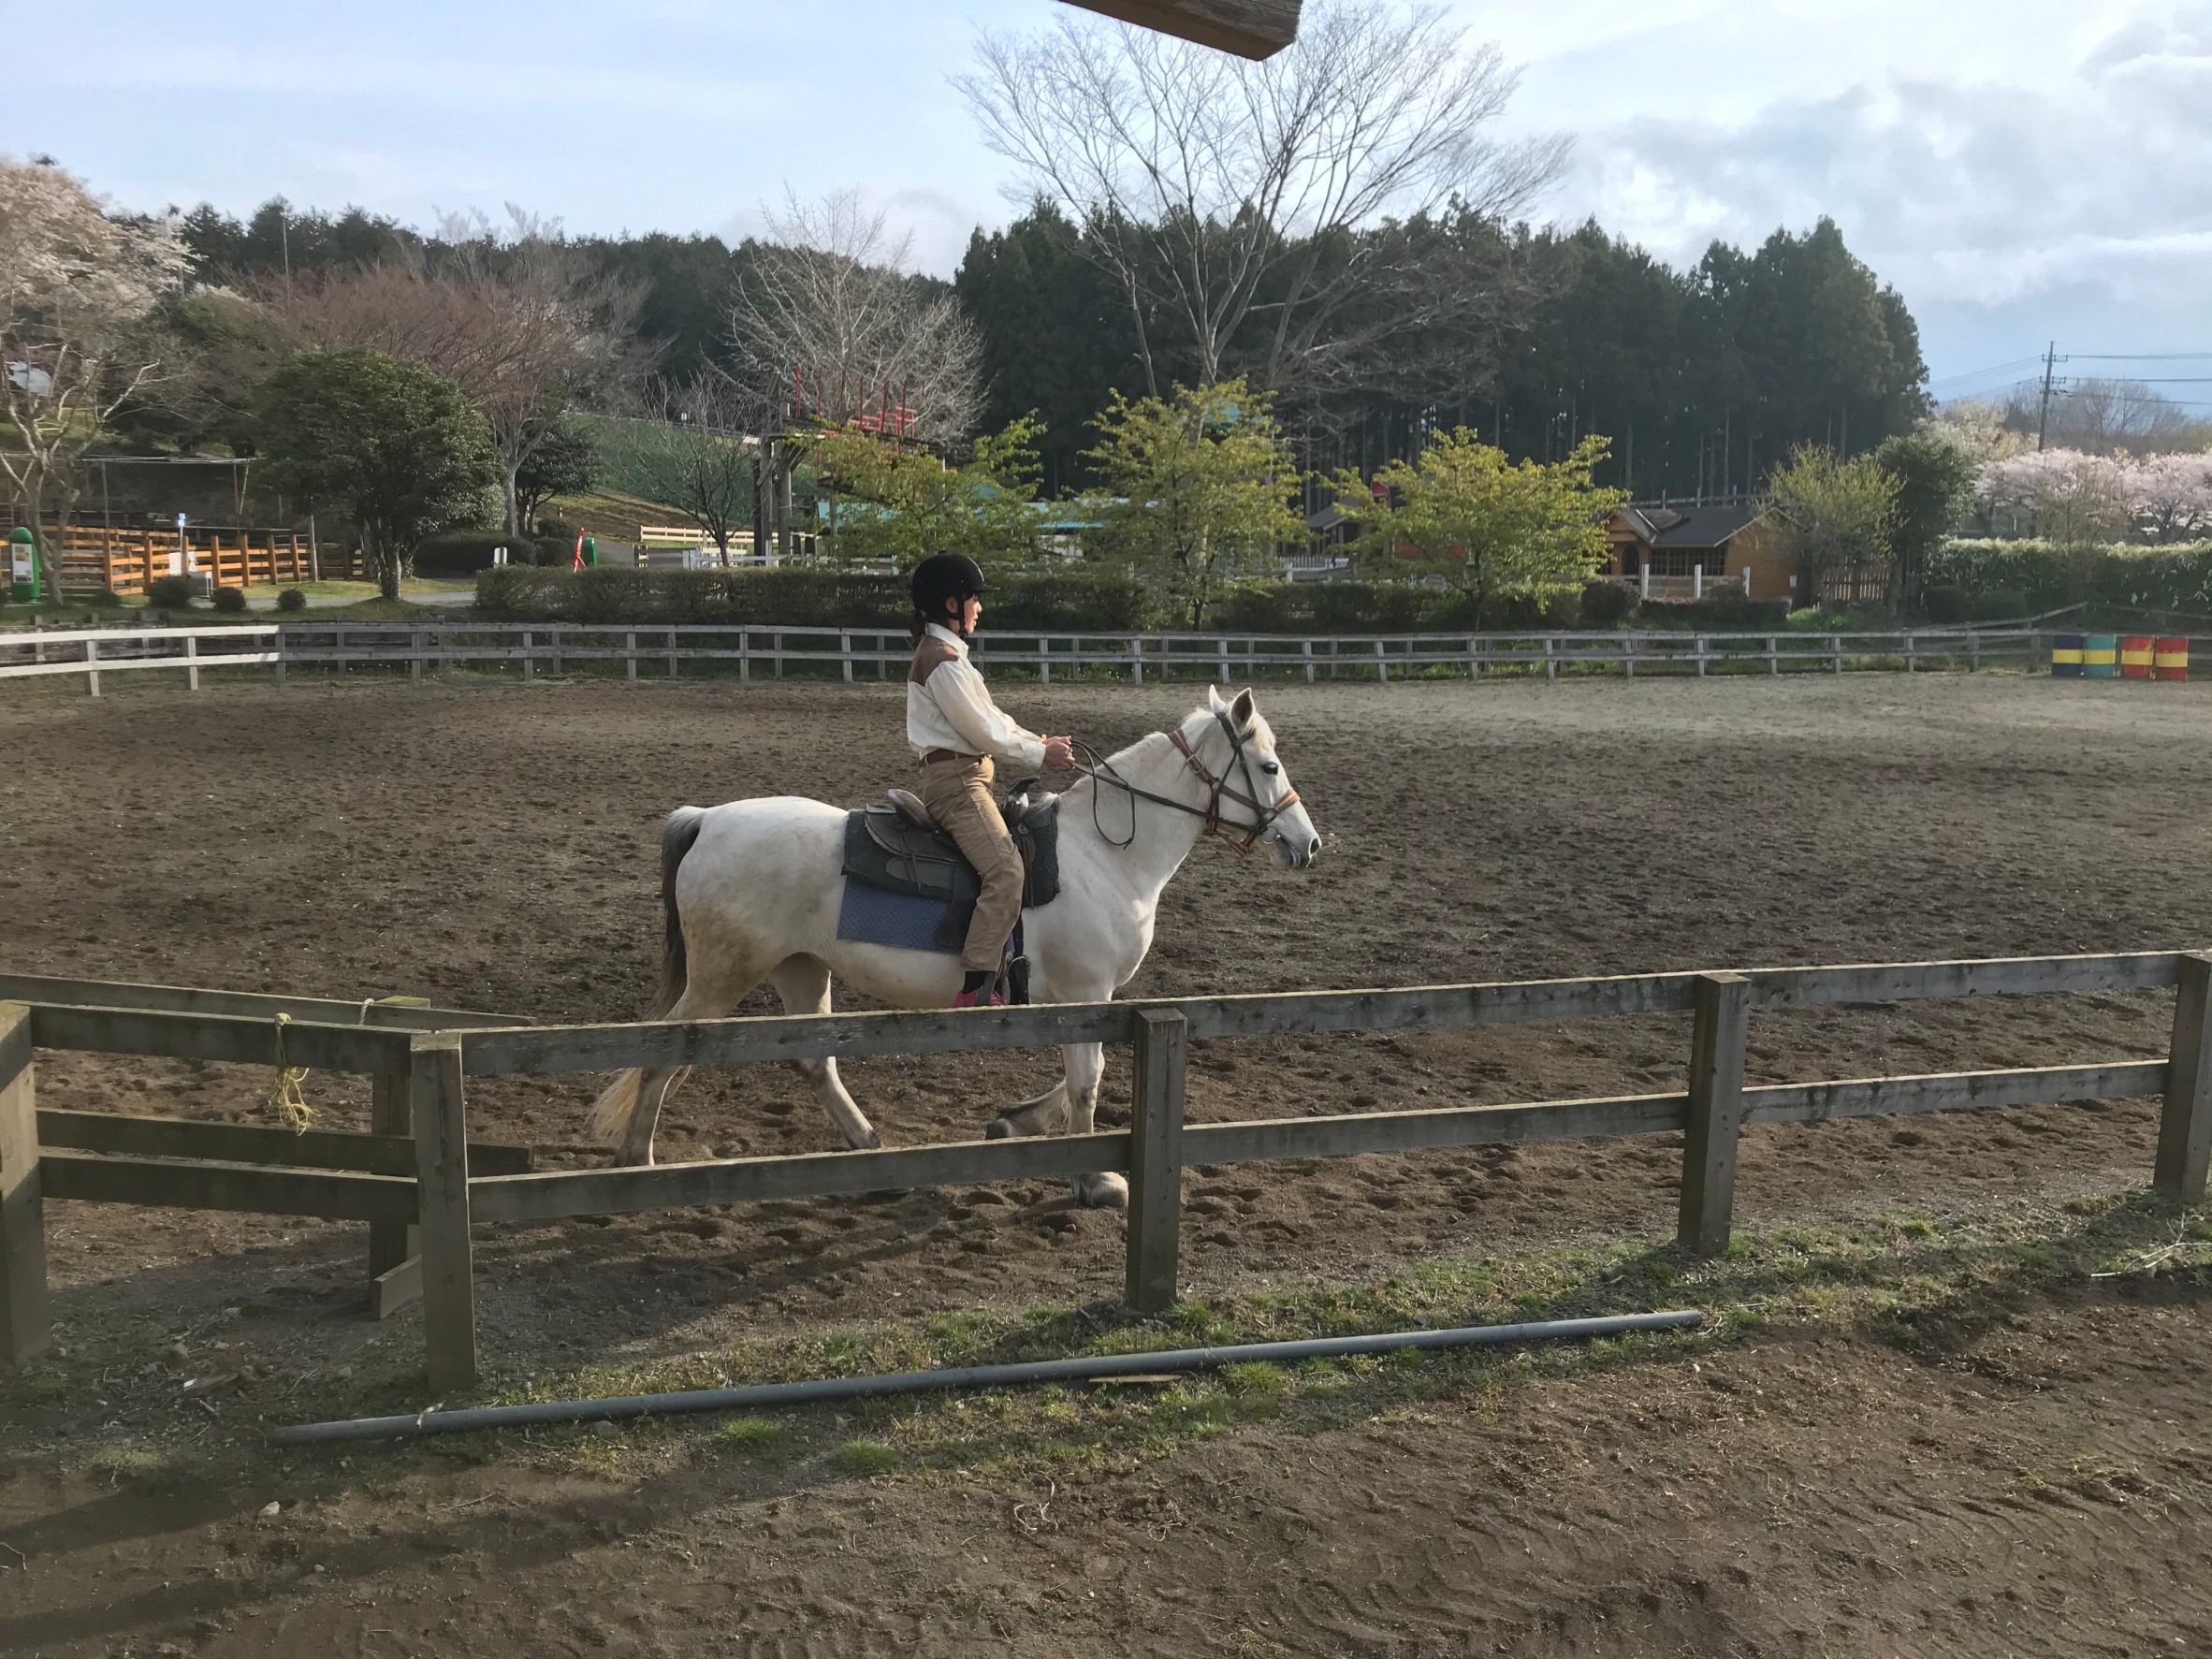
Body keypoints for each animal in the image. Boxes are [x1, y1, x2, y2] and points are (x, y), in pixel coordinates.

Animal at [586, 684, 1321, 1205]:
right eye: (1268, 763)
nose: (1307, 843)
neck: (1106, 851)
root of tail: (707, 820)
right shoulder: (1087, 991)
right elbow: (1088, 1080)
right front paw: (1092, 1180)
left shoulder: (1079, 999)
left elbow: (1077, 1077)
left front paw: (1015, 1123)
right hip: (722, 977)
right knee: (663, 1054)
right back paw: (637, 1161)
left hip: (801, 969)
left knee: (815, 1063)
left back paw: (871, 1149)